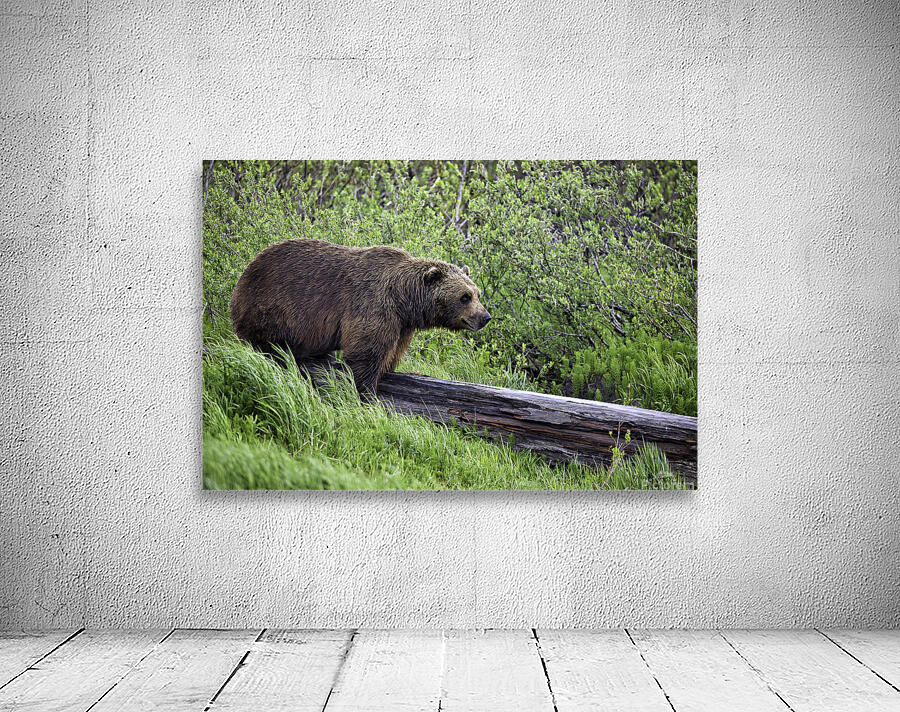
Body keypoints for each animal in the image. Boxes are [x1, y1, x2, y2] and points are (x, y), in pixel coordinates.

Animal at [230, 238, 491, 396]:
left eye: (478, 293)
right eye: (465, 296)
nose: (485, 317)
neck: (404, 299)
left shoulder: (402, 324)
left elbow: (391, 352)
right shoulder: (373, 306)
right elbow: (365, 353)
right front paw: (367, 392)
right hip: (273, 307)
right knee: (270, 343)